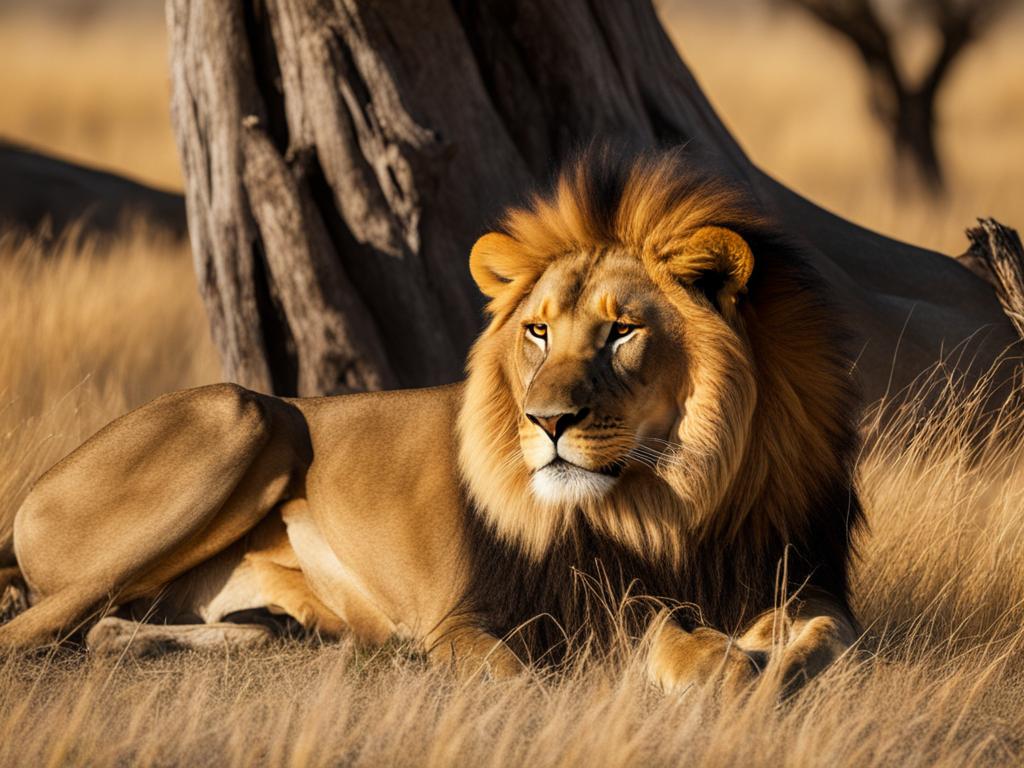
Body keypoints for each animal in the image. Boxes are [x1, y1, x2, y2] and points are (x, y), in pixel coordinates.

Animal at [0, 149, 861, 692]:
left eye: (622, 331)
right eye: (537, 331)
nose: (546, 421)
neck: (677, 503)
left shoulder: (803, 580)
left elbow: (835, 641)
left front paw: (775, 666)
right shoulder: (488, 614)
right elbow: (589, 656)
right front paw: (722, 665)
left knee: (116, 629)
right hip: (245, 413)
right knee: (35, 629)